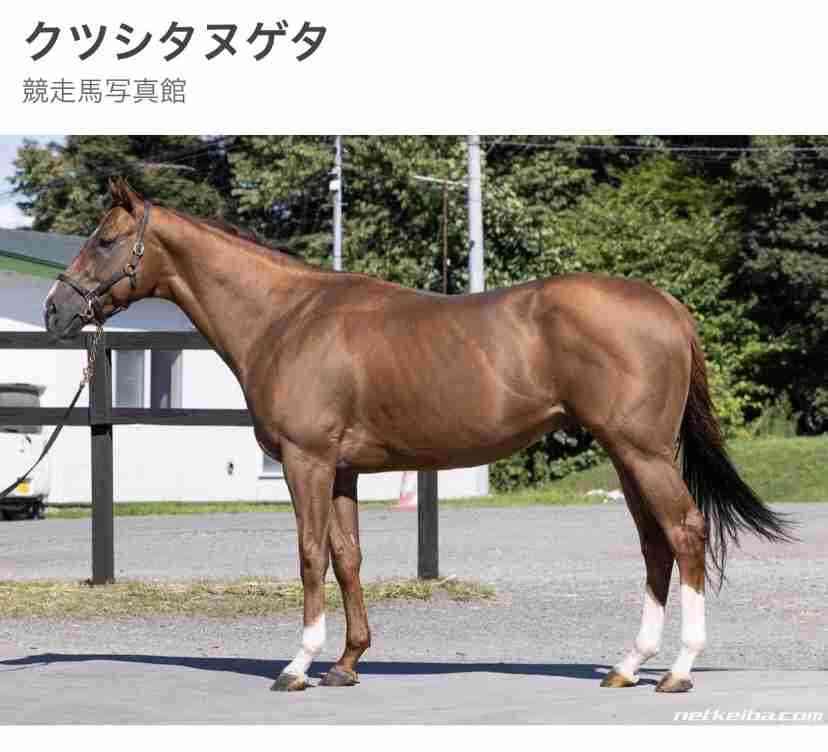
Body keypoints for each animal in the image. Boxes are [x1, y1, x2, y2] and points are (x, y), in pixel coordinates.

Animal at [43, 178, 793, 693]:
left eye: (104, 240)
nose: (54, 310)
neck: (287, 317)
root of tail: (667, 304)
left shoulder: (306, 462)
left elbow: (309, 556)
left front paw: (298, 664)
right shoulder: (341, 470)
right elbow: (347, 557)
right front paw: (347, 662)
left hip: (642, 451)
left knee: (685, 533)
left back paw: (679, 669)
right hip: (627, 454)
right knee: (655, 545)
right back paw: (628, 665)